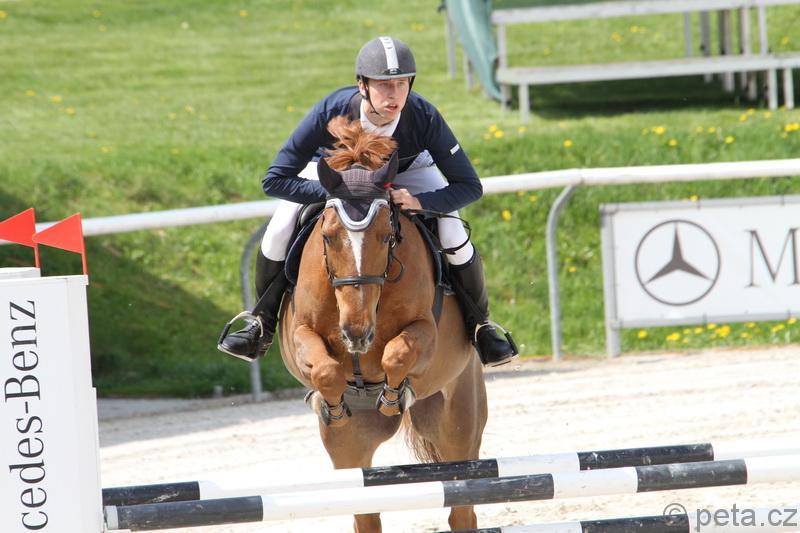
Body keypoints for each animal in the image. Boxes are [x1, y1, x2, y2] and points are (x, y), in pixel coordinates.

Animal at [277, 117, 488, 533]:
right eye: (328, 237)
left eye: (386, 236)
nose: (356, 333)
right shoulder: (300, 335)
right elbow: (325, 370)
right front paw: (333, 404)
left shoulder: (426, 332)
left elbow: (397, 354)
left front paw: (393, 397)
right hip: (350, 451)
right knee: (365, 509)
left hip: (457, 427)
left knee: (463, 507)